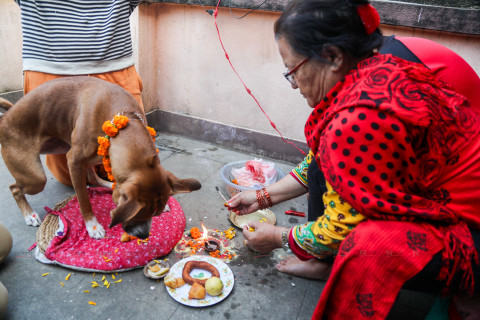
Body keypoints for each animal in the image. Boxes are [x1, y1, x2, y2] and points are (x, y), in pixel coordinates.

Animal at [0, 76, 202, 239]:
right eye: (138, 215)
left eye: (155, 216)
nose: (144, 235)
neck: (124, 118)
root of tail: (5, 118)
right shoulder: (73, 162)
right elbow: (83, 199)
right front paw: (93, 226)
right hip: (35, 179)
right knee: (15, 188)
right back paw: (29, 215)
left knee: (93, 177)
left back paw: (106, 185)